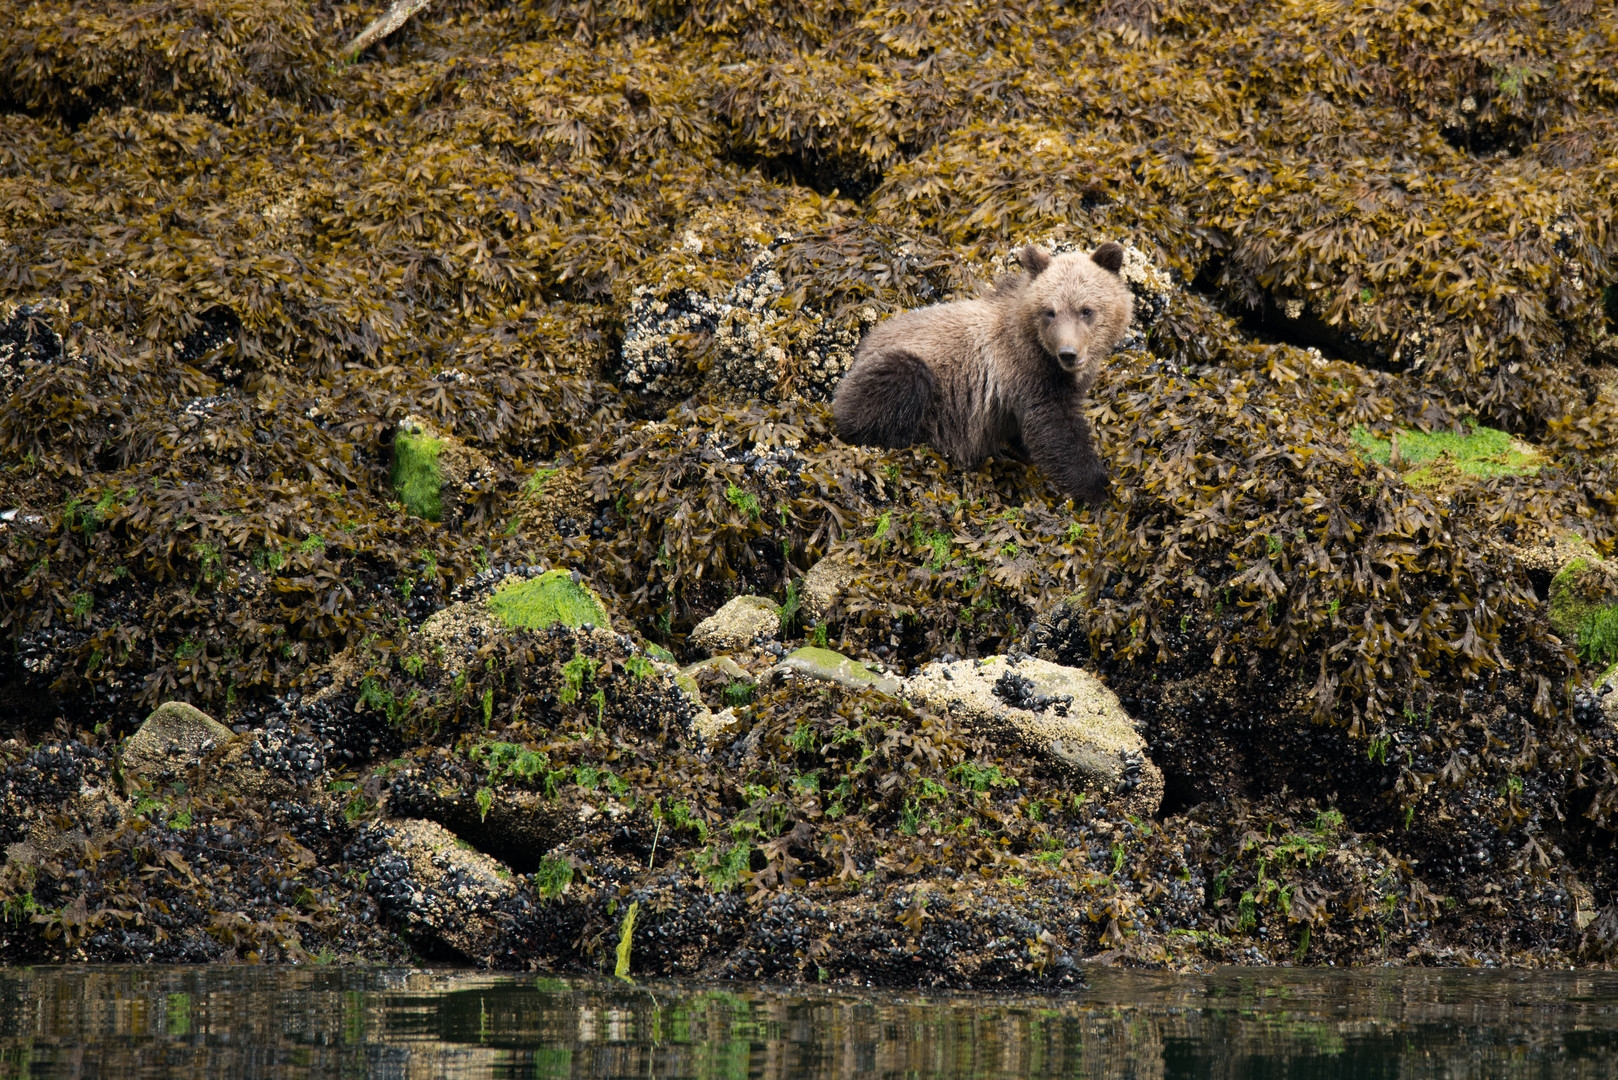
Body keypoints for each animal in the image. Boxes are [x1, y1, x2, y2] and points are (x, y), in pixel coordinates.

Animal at [828, 242, 1132, 505]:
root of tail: (862, 347)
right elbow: (1056, 433)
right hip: (905, 367)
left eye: (1086, 310)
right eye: (1050, 311)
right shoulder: (1027, 373)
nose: (1068, 352)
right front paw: (1099, 488)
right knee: (894, 387)